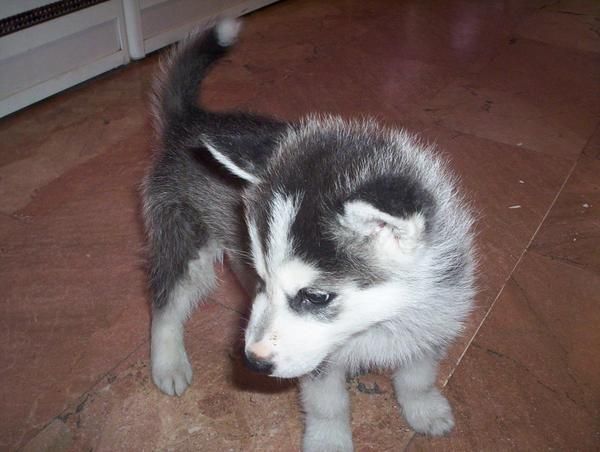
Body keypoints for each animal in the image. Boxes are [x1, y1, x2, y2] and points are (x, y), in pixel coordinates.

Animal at [142, 18, 474, 452]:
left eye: (316, 296)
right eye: (266, 278)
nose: (252, 361)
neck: (381, 319)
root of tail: (190, 121)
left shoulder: (433, 319)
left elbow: (417, 375)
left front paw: (424, 408)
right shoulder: (320, 364)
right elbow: (327, 403)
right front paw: (329, 439)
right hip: (184, 239)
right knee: (167, 300)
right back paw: (168, 361)